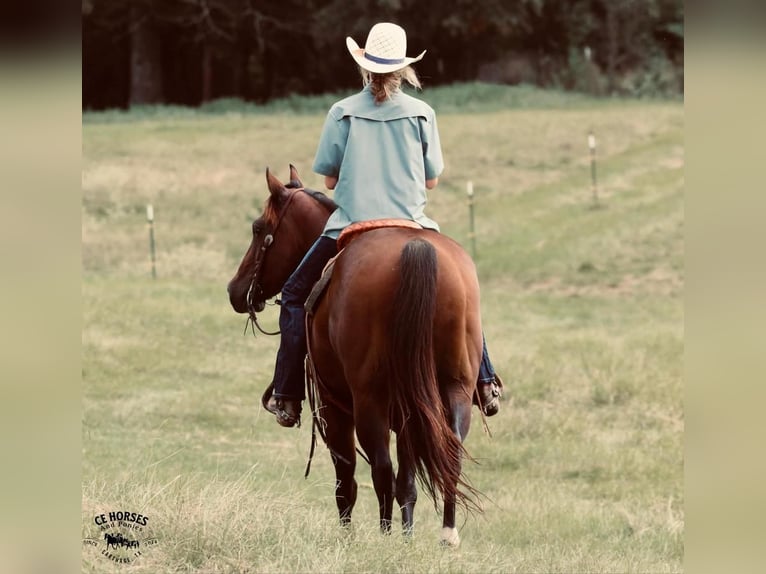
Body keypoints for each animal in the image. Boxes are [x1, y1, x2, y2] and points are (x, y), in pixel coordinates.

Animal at [226, 166, 486, 548]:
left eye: (259, 228)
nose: (235, 290)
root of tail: (415, 249)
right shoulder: (409, 410)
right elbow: (408, 481)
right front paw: (407, 539)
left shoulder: (332, 406)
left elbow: (346, 477)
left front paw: (350, 537)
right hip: (454, 389)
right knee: (446, 456)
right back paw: (446, 535)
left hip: (368, 402)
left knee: (380, 469)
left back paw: (384, 536)